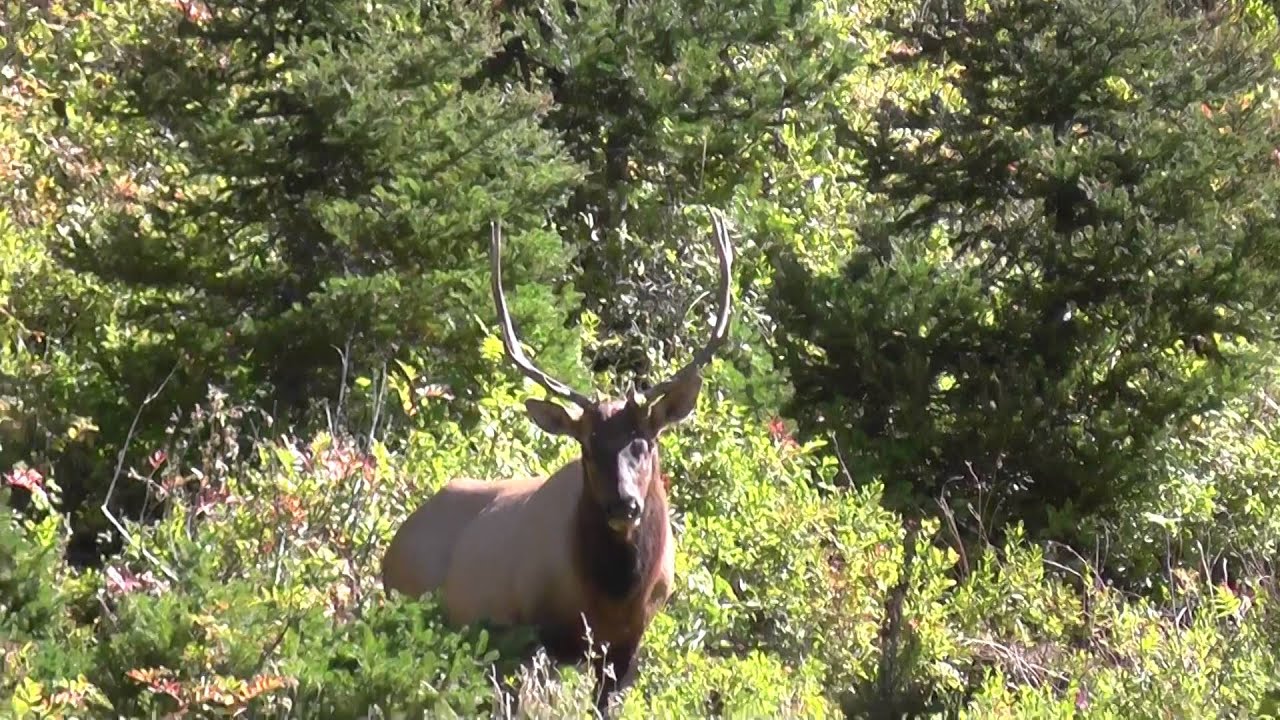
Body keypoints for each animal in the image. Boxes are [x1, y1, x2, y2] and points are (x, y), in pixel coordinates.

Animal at [380, 212, 734, 713]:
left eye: (644, 442)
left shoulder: (625, 649)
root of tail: (391, 550)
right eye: (587, 446)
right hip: (424, 612)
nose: (624, 504)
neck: (611, 598)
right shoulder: (535, 632)